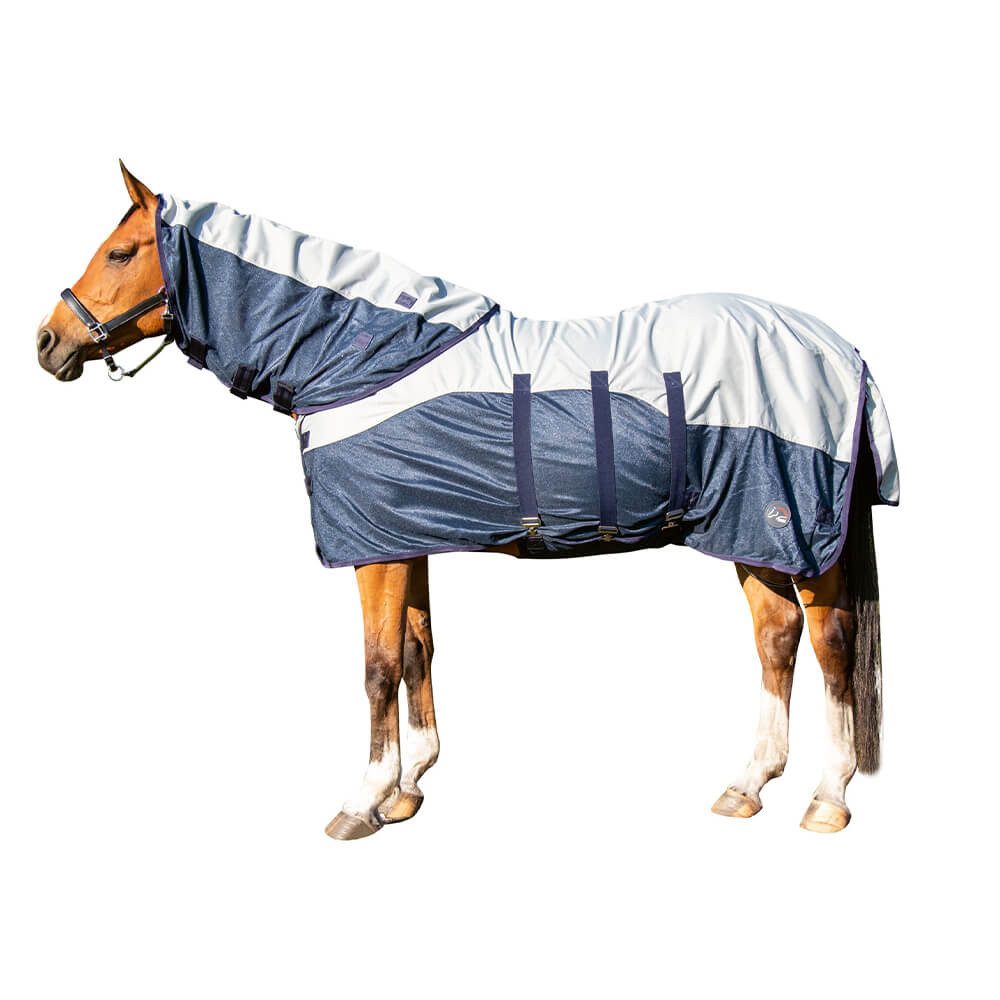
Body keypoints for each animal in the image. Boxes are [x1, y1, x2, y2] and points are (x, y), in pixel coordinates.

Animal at [35, 162, 897, 837]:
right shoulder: (402, 536)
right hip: (750, 529)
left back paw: (826, 798)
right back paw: (746, 786)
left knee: (829, 642)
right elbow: (418, 649)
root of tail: (841, 349)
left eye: (120, 251)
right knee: (777, 637)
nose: (48, 343)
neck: (368, 358)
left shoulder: (373, 549)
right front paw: (409, 788)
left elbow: (378, 664)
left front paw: (363, 800)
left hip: (796, 530)